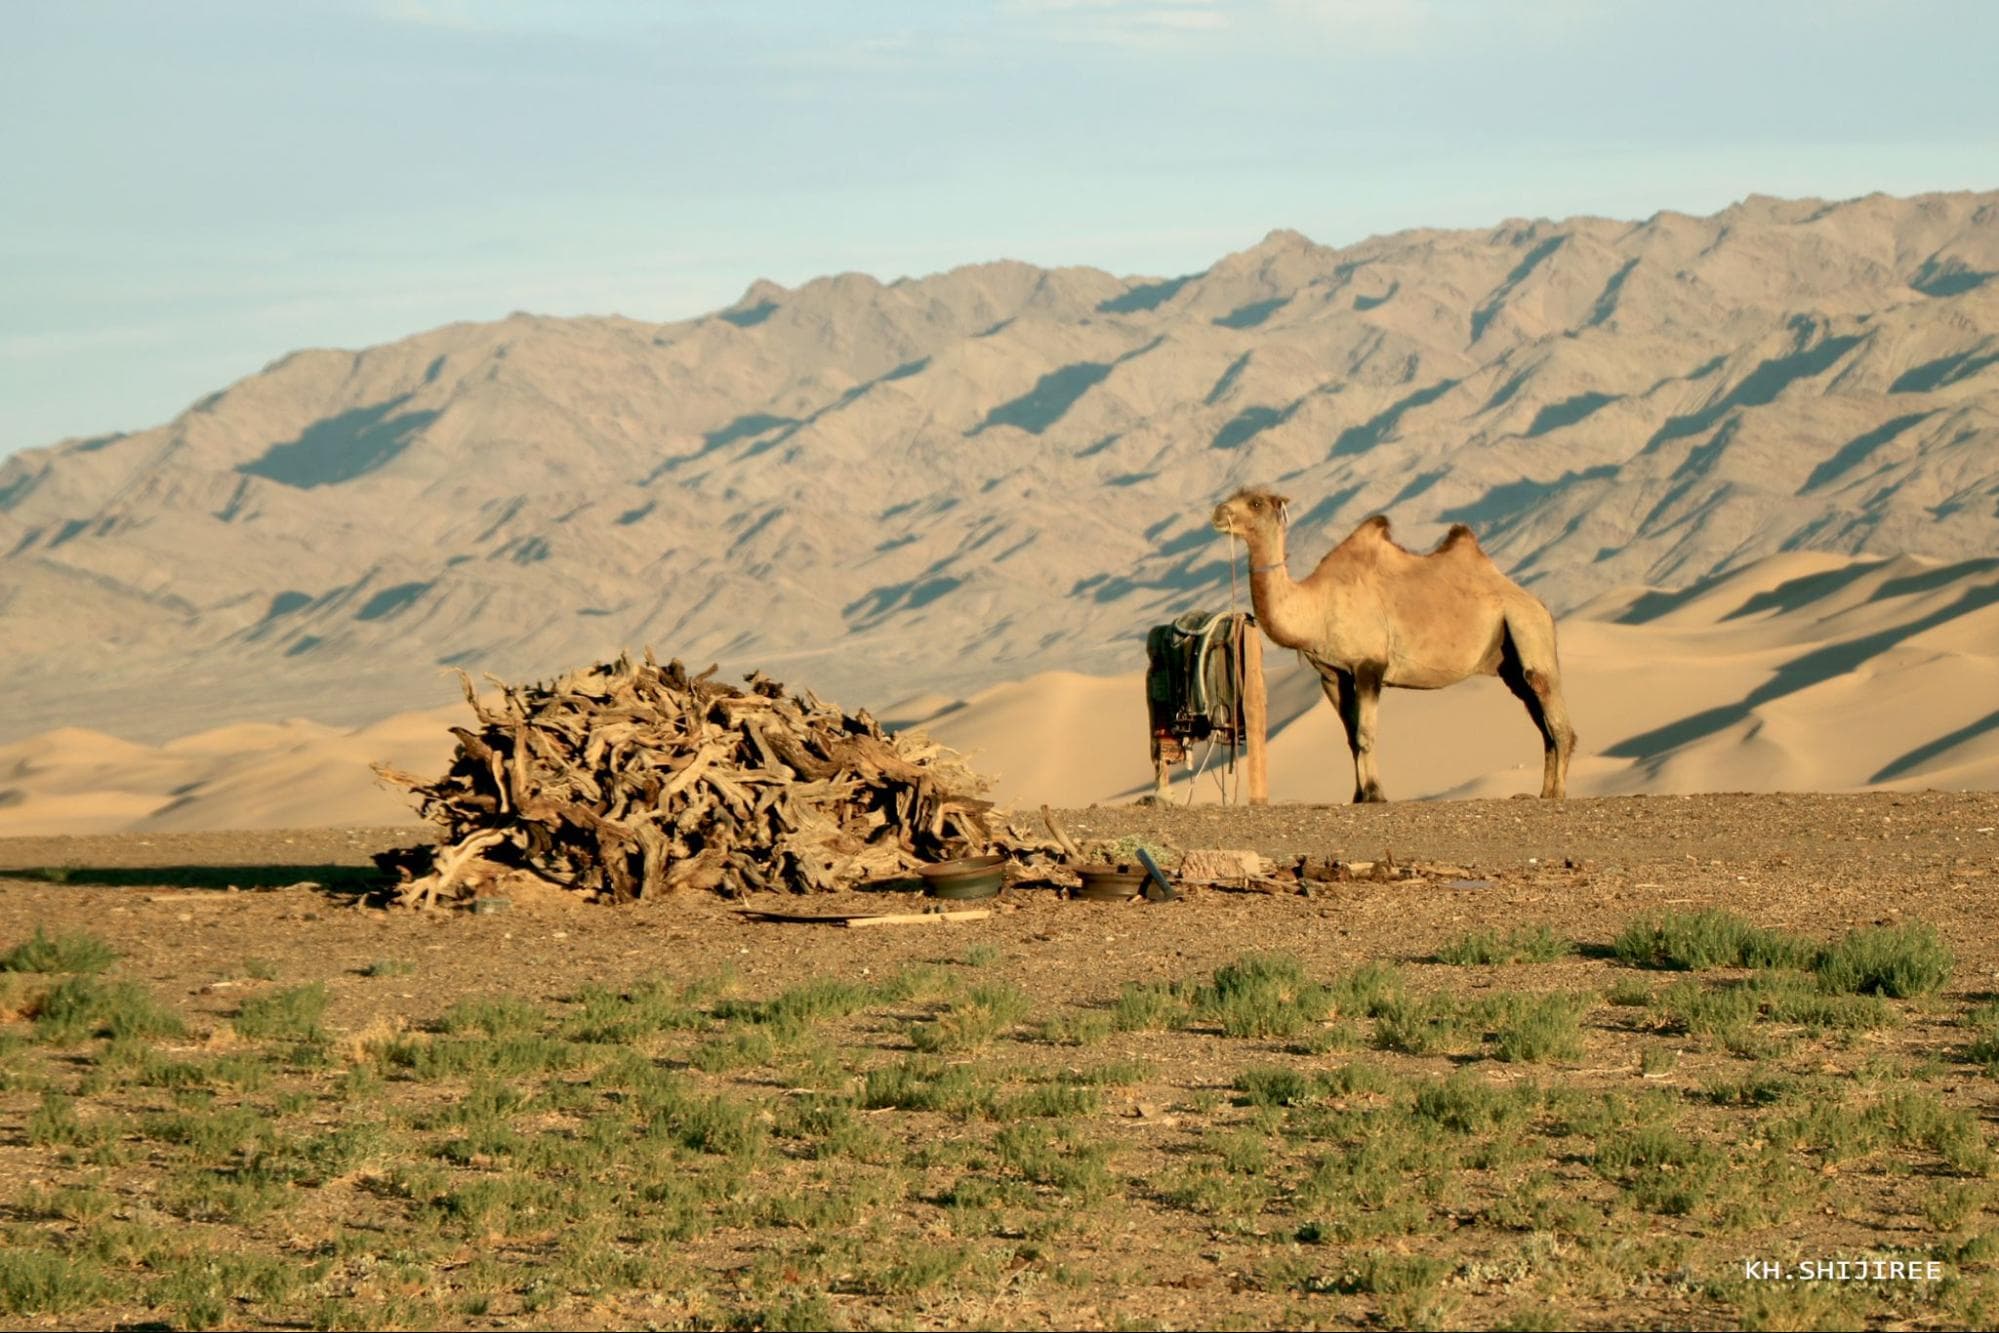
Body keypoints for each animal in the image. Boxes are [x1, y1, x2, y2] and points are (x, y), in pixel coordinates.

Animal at [1207, 489, 1567, 803]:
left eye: (1254, 502)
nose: (1218, 513)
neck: (1317, 605)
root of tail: (1539, 604)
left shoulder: (1369, 665)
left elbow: (1365, 734)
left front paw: (1375, 795)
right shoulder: (1332, 674)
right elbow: (1351, 736)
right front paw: (1358, 796)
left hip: (1528, 628)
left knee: (1551, 707)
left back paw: (1556, 793)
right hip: (1509, 662)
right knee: (1541, 718)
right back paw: (1544, 792)